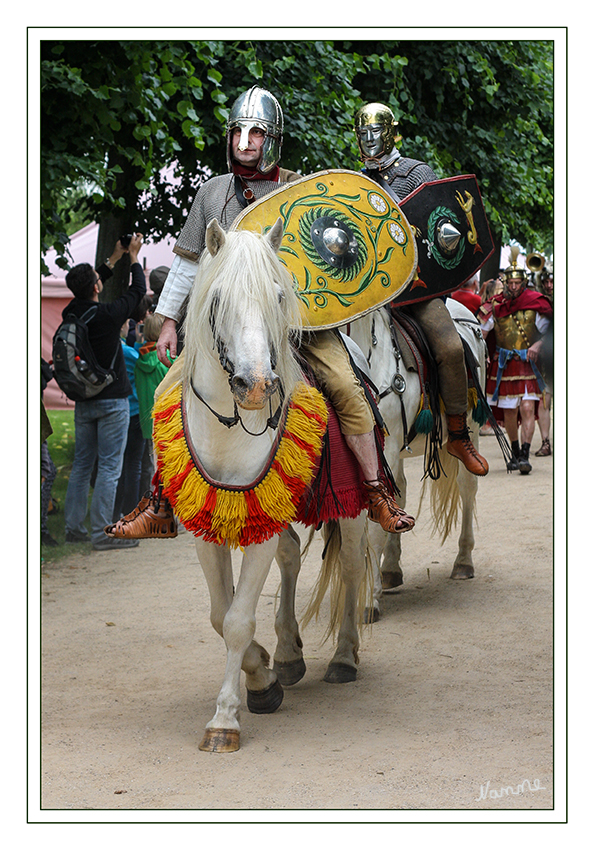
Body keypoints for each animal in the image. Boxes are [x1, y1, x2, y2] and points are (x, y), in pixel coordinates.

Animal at [153, 217, 366, 748]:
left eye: (278, 296)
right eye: (216, 299)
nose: (255, 386)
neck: (231, 425)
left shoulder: (260, 521)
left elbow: (237, 619)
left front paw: (227, 717)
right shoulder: (210, 524)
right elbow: (220, 614)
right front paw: (263, 672)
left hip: (354, 503)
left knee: (353, 566)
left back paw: (344, 656)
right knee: (291, 557)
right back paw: (288, 653)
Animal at [342, 296, 486, 616]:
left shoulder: (383, 451)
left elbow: (373, 530)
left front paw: (368, 598)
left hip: (470, 430)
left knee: (468, 489)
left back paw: (464, 562)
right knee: (402, 493)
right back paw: (391, 569)